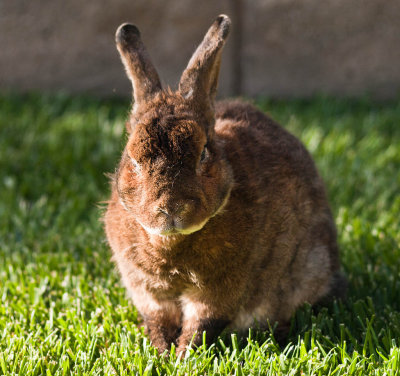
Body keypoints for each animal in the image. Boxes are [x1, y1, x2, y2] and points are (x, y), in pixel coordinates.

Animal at [104, 15, 346, 356]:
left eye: (204, 153)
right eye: (133, 158)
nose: (170, 209)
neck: (172, 244)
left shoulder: (220, 294)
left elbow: (201, 324)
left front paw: (181, 357)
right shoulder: (149, 293)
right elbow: (159, 320)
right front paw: (162, 352)